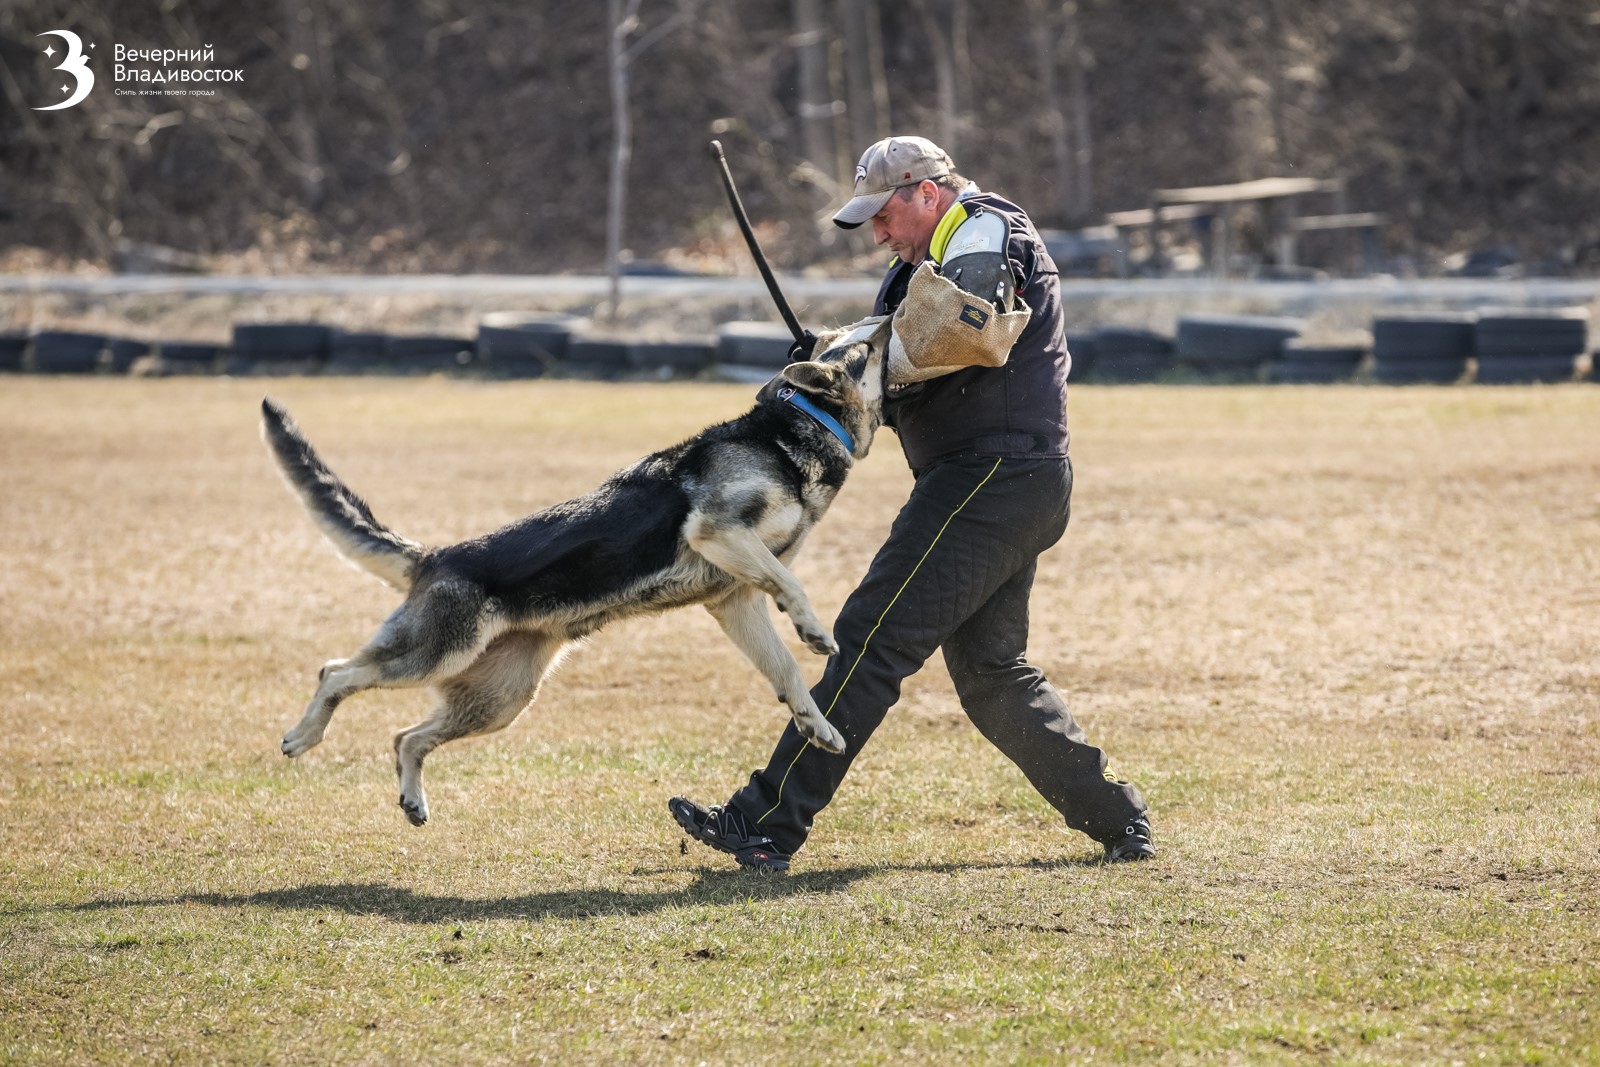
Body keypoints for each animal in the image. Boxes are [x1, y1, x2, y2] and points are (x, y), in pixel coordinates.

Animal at [260, 316, 889, 825]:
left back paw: (413, 799)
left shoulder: (734, 599)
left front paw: (817, 724)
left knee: (406, 737)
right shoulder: (718, 533)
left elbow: (786, 673)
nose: (891, 310)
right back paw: (303, 737)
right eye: (865, 346)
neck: (795, 428)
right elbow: (792, 587)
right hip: (433, 655)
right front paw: (815, 631)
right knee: (335, 673)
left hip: (501, 700)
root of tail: (435, 556)